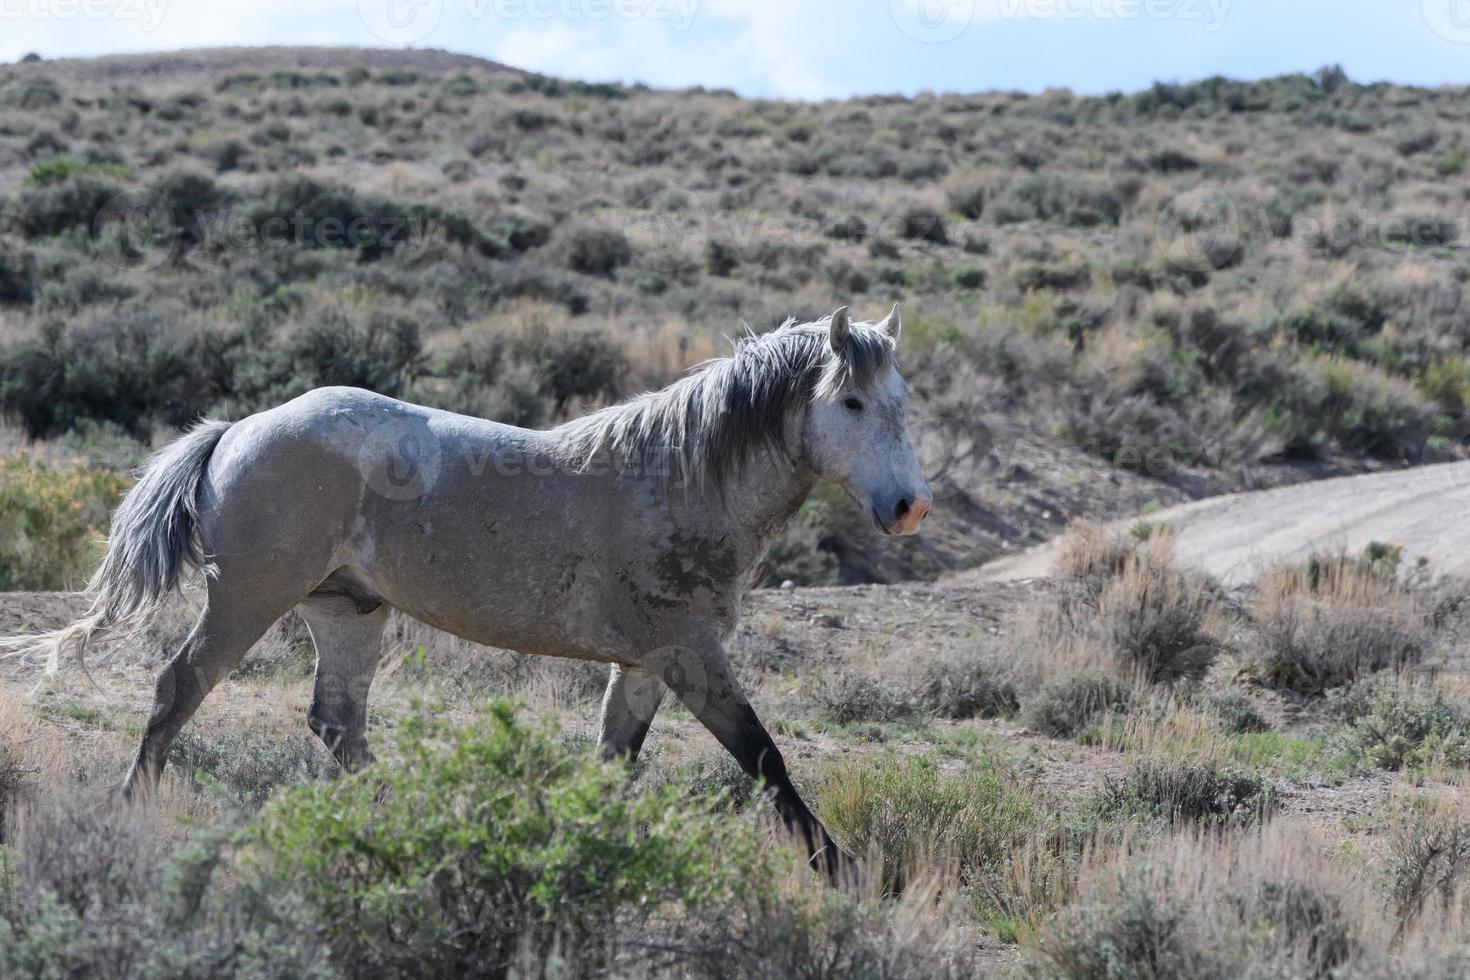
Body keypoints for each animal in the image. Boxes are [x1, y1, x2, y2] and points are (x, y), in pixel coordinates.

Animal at [22, 304, 923, 875]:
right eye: (850, 400)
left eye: (902, 400)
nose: (909, 507)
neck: (679, 478)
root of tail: (235, 430)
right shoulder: (688, 655)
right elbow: (765, 757)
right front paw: (846, 871)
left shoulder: (641, 667)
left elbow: (612, 765)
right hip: (246, 601)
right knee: (178, 690)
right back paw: (130, 812)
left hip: (349, 613)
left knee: (337, 723)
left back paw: (410, 822)